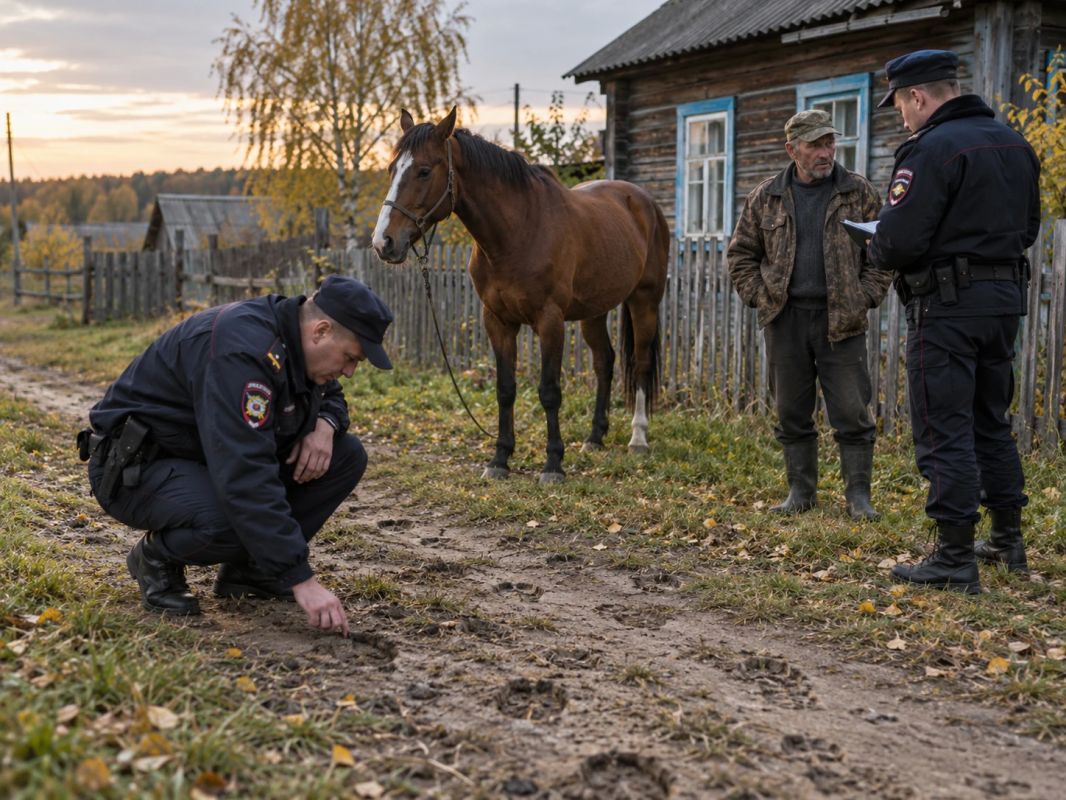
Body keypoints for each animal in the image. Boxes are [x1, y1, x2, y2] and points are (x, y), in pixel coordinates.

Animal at [372, 107, 669, 484]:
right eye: (391, 169)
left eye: (424, 170)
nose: (383, 242)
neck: (518, 232)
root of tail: (643, 202)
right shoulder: (497, 321)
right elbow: (505, 389)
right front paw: (500, 458)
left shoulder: (550, 321)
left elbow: (549, 391)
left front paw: (553, 464)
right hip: (594, 311)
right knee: (605, 361)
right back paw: (594, 437)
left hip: (644, 302)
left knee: (641, 363)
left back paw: (638, 439)